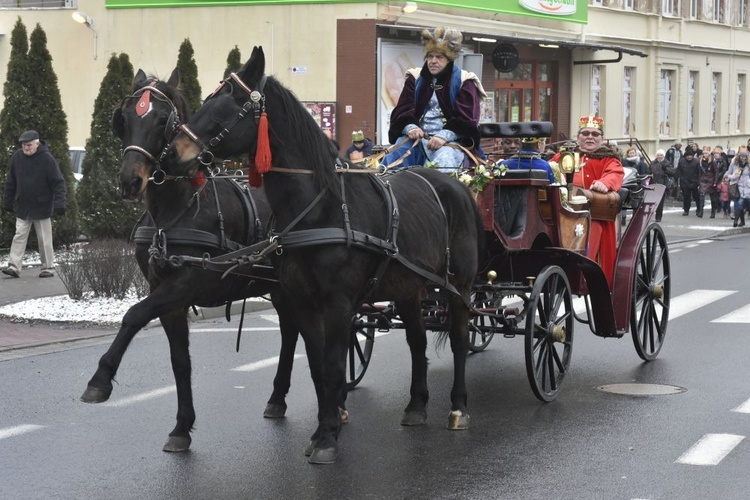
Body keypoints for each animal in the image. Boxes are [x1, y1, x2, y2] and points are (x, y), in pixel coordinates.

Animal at [81, 66, 304, 454]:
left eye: (162, 120)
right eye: (124, 119)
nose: (130, 181)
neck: (175, 210)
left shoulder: (187, 283)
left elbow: (133, 314)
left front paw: (101, 377)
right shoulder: (167, 295)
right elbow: (180, 362)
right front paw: (181, 427)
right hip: (280, 287)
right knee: (290, 331)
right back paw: (277, 399)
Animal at [168, 47, 484, 464]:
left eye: (227, 106)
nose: (174, 154)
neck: (321, 207)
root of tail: (455, 185)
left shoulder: (337, 304)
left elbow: (333, 366)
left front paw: (328, 436)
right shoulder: (303, 302)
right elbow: (318, 367)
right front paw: (325, 425)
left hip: (459, 287)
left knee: (462, 338)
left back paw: (459, 408)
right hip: (408, 288)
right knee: (417, 342)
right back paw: (416, 406)